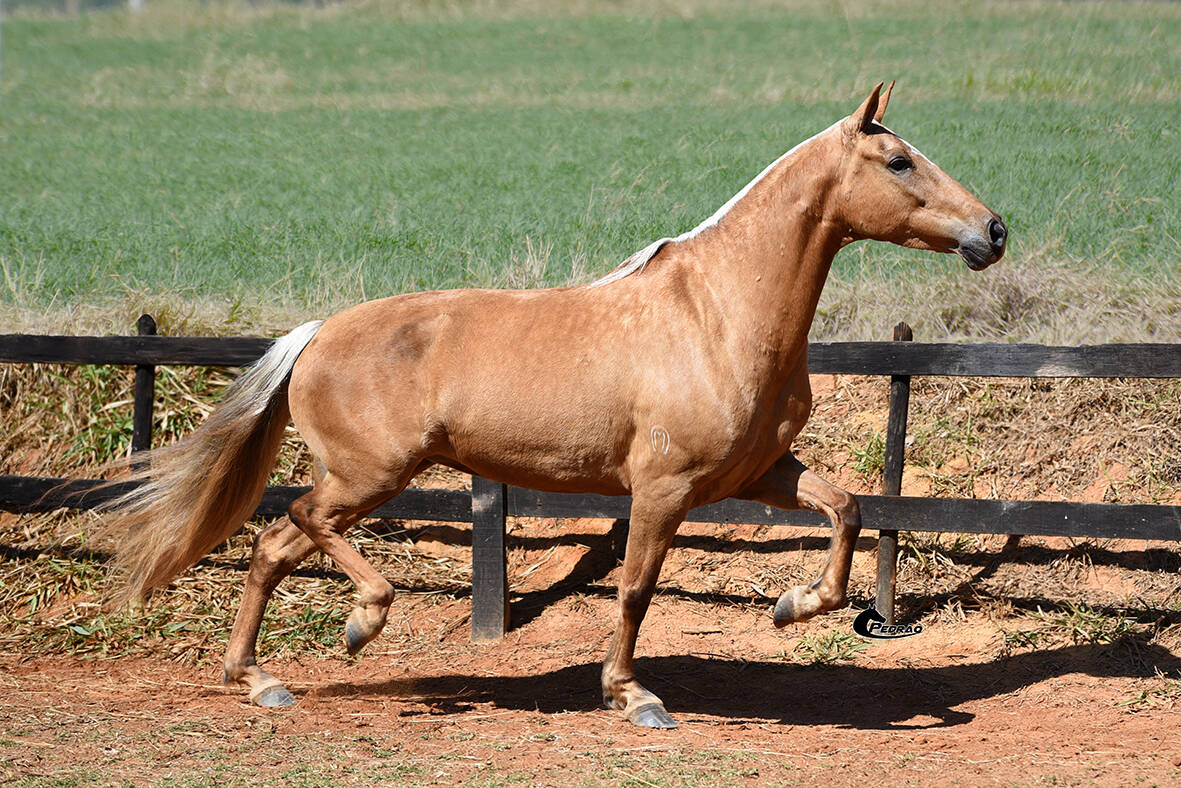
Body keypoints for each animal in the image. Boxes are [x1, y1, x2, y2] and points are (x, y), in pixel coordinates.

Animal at [100, 83, 1006, 728]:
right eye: (898, 161)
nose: (992, 231)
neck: (717, 313)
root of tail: (317, 332)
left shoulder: (758, 473)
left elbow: (848, 509)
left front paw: (794, 606)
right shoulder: (664, 489)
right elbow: (635, 590)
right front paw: (633, 698)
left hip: (366, 482)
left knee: (271, 547)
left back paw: (259, 681)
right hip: (368, 477)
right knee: (296, 525)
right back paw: (361, 623)